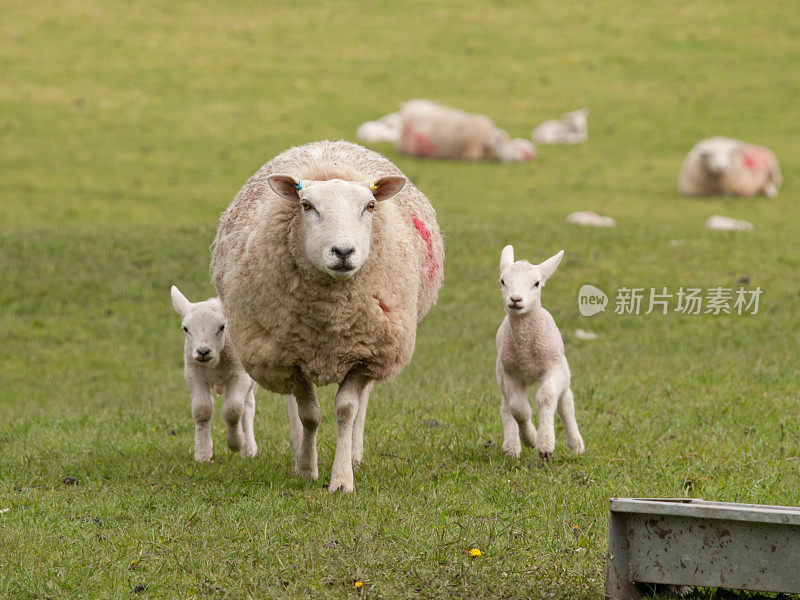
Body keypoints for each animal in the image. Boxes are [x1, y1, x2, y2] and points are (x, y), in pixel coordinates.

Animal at [170, 286, 260, 464]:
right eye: (185, 328)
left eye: (222, 327)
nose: (203, 352)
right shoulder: (192, 374)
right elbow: (202, 410)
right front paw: (203, 453)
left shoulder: (240, 374)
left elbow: (233, 409)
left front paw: (235, 443)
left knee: (247, 407)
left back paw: (248, 449)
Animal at [211, 141, 444, 492]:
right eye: (306, 205)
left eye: (370, 206)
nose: (344, 252)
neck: (331, 318)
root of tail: (328, 145)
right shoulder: (287, 358)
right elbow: (309, 413)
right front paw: (307, 468)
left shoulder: (366, 351)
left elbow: (347, 409)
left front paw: (342, 478)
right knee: (293, 404)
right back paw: (298, 449)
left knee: (362, 401)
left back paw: (356, 454)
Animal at [496, 246, 584, 462]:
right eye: (503, 281)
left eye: (536, 283)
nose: (515, 299)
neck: (526, 352)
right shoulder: (511, 374)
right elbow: (518, 409)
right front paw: (530, 438)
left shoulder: (554, 369)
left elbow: (546, 397)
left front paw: (545, 445)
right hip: (501, 373)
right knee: (506, 406)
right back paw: (511, 447)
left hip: (564, 372)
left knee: (565, 404)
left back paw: (575, 444)